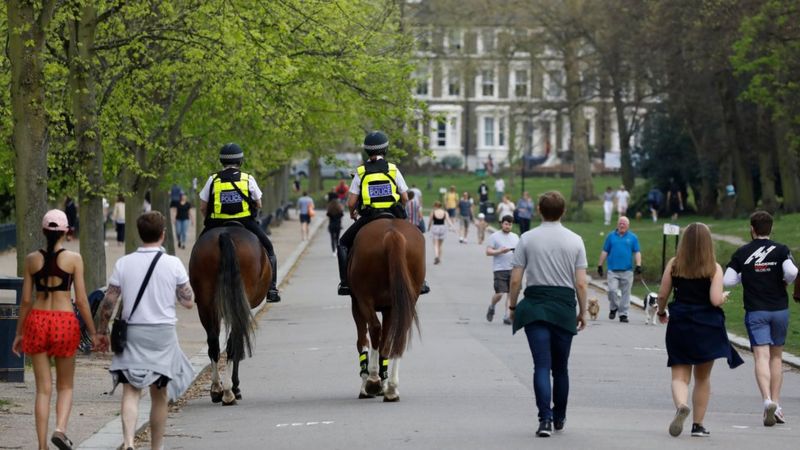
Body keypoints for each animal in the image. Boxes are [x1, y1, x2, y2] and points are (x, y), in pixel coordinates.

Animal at [190, 225, 272, 404]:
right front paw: (236, 387)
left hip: (206, 304)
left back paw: (216, 389)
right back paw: (229, 392)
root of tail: (225, 234)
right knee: (231, 344)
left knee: (213, 343)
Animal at [350, 218, 424, 400]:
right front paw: (383, 384)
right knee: (399, 336)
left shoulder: (356, 305)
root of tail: (392, 233)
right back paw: (391, 388)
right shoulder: (389, 308)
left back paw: (373, 379)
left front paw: (367, 385)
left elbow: (363, 341)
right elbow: (386, 341)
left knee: (375, 329)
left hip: (364, 299)